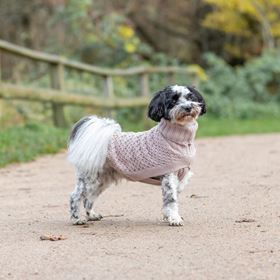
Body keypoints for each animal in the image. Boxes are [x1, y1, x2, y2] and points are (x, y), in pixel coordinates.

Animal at [68, 84, 206, 226]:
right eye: (173, 101)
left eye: (190, 97)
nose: (188, 107)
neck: (176, 138)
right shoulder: (169, 177)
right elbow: (171, 199)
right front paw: (174, 219)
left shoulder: (179, 179)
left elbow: (171, 200)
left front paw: (169, 216)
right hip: (89, 178)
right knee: (75, 196)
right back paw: (77, 219)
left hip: (101, 181)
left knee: (88, 198)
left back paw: (92, 215)